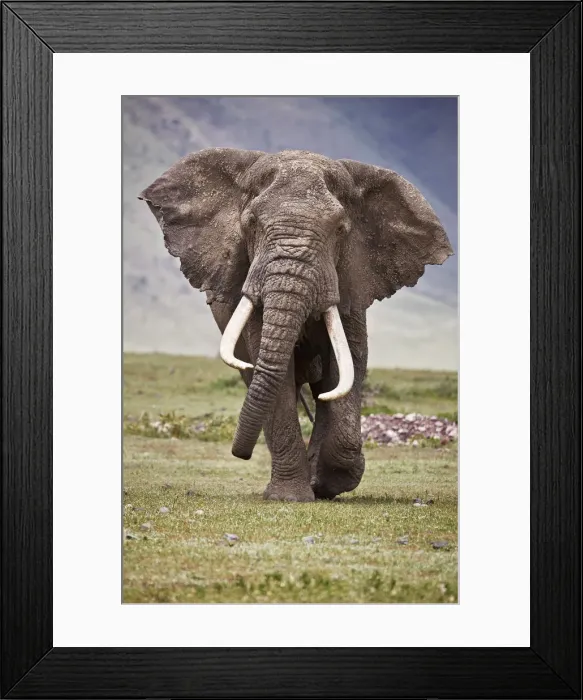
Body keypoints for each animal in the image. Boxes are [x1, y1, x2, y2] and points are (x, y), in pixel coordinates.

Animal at [139, 148, 453, 502]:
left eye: (341, 229)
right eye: (251, 223)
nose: (239, 453)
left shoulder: (352, 278)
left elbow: (348, 365)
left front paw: (330, 483)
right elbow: (277, 370)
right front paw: (290, 497)